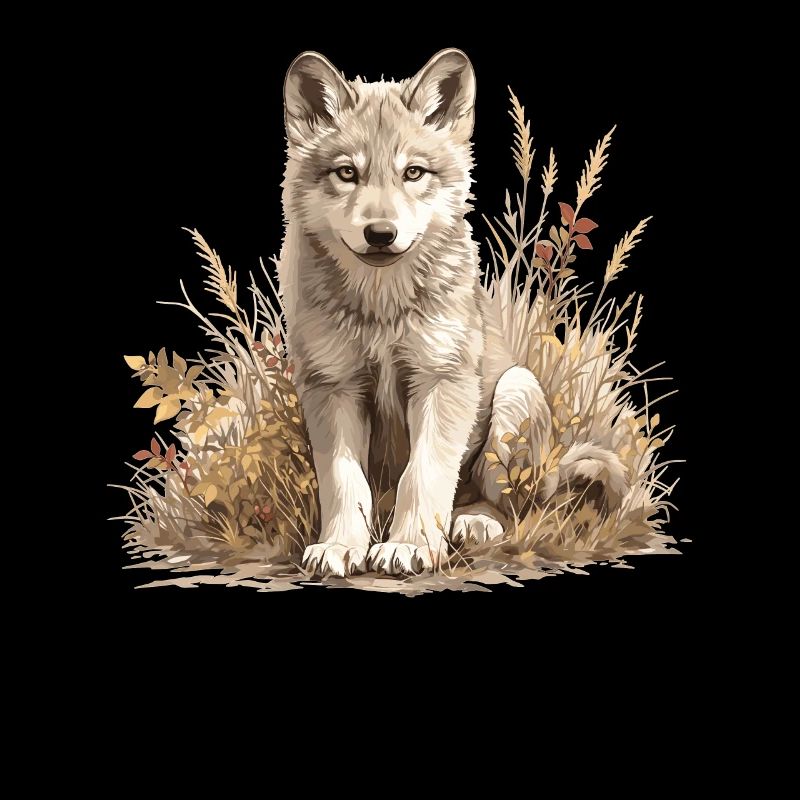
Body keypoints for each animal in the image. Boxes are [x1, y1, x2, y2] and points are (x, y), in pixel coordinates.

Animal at [279, 49, 627, 576]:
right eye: (346, 173)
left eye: (413, 173)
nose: (380, 234)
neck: (382, 309)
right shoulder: (332, 386)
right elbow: (343, 482)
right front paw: (340, 546)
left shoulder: (442, 380)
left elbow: (423, 474)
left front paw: (409, 546)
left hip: (515, 392)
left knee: (510, 507)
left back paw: (474, 522)